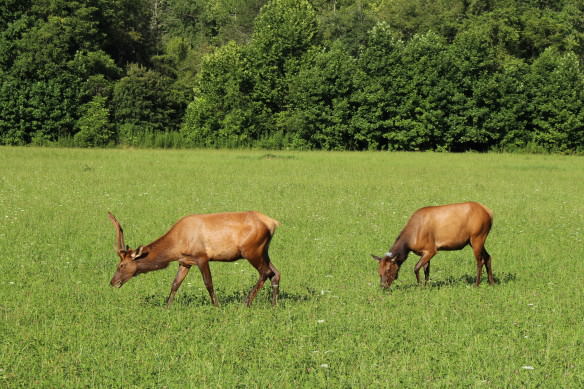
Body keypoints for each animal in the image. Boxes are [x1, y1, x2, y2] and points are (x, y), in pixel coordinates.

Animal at [109, 212, 282, 306]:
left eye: (121, 265)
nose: (112, 282)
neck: (176, 245)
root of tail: (273, 223)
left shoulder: (201, 257)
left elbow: (208, 283)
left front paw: (216, 305)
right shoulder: (185, 261)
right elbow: (175, 284)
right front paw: (167, 306)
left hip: (251, 250)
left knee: (266, 272)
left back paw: (246, 302)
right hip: (263, 251)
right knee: (276, 272)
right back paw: (274, 304)